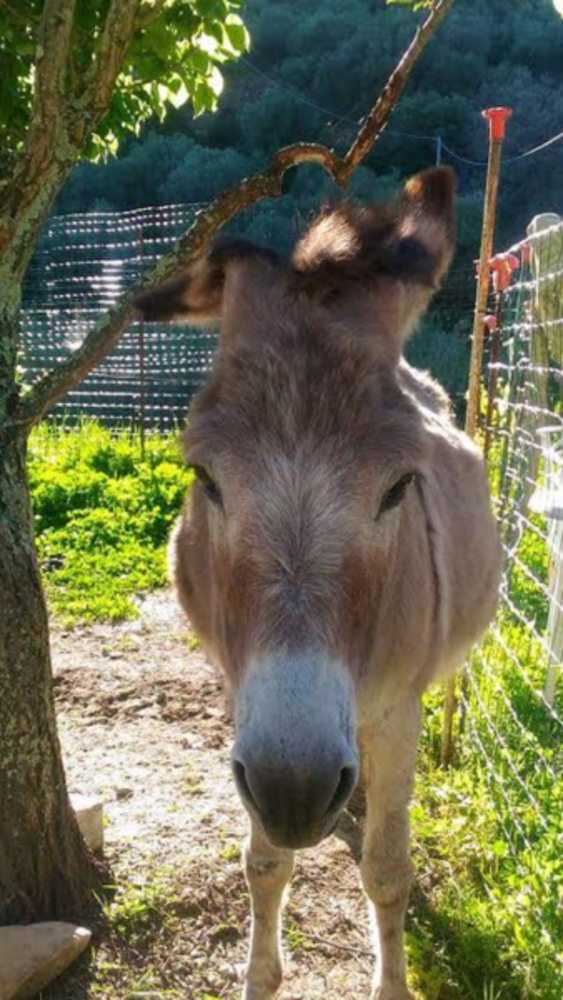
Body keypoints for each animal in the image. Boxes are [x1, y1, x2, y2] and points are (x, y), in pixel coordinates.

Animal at [134, 167, 502, 1000]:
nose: (296, 791)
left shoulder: (397, 712)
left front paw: (392, 986)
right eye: (203, 476)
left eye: (400, 487)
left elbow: (388, 872)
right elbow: (264, 863)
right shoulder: (244, 705)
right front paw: (259, 977)